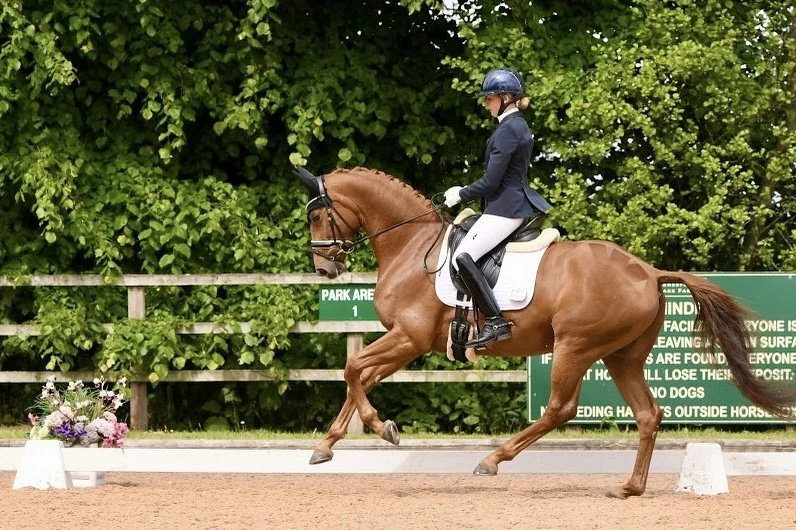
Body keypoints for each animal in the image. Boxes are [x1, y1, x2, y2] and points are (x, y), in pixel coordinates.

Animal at [294, 165, 795, 498]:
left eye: (316, 217)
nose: (324, 269)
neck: (412, 245)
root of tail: (648, 271)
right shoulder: (405, 341)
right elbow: (360, 376)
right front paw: (326, 446)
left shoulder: (409, 337)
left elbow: (353, 369)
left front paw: (385, 430)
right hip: (622, 356)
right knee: (648, 414)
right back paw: (629, 488)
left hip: (576, 345)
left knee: (560, 408)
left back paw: (492, 460)